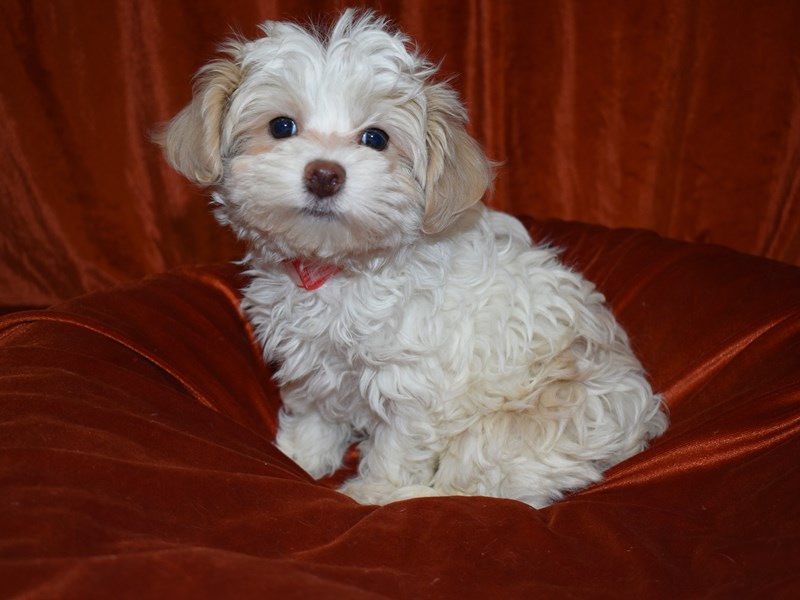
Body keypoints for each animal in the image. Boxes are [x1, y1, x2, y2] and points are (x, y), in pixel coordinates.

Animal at [158, 9, 668, 506]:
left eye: (376, 138)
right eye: (281, 126)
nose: (324, 174)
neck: (339, 269)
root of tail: (639, 427)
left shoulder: (412, 388)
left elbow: (397, 448)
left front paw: (371, 494)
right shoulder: (313, 366)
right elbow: (314, 415)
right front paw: (299, 459)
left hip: (512, 430)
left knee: (487, 491)